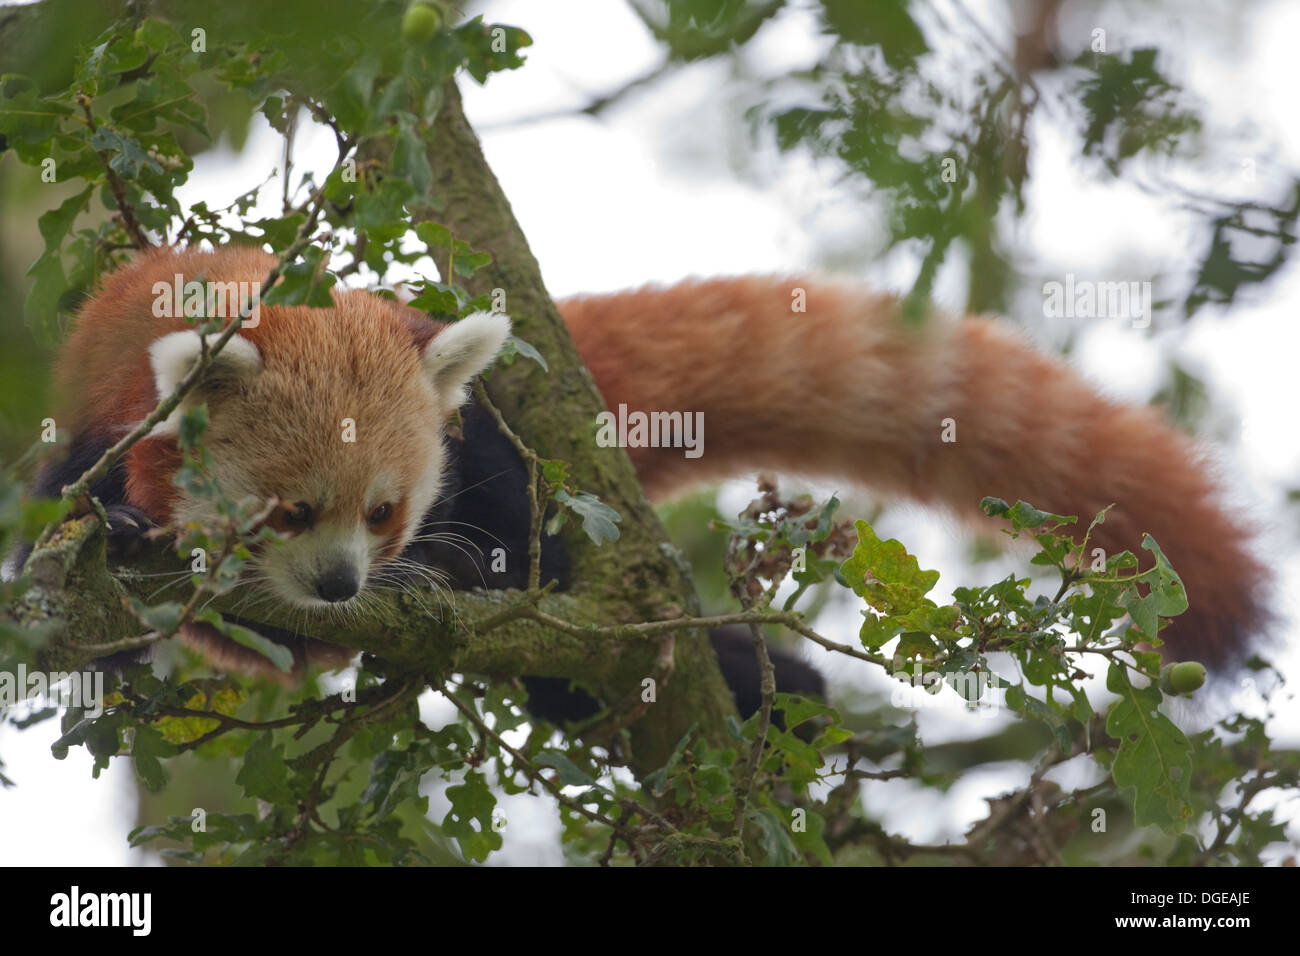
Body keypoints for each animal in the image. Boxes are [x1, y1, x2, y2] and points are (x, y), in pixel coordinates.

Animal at [27, 244, 1268, 697]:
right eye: (288, 511)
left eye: (383, 511)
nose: (341, 584)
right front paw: (126, 545)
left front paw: (444, 572)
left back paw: (748, 672)